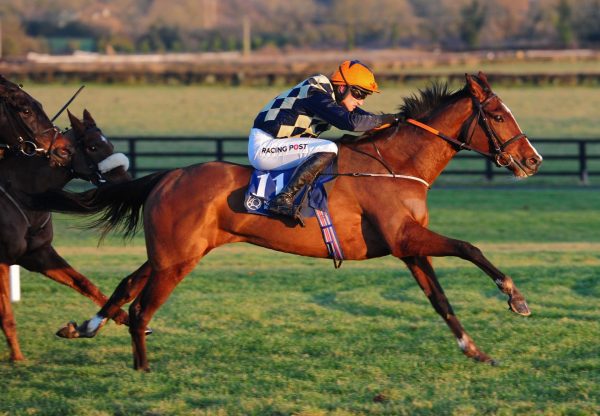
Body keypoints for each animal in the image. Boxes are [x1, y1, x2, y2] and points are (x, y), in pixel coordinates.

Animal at [0, 109, 131, 360]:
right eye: (92, 147)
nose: (126, 181)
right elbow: (6, 313)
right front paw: (17, 357)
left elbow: (83, 282)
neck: (21, 191)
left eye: (109, 144)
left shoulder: (38, 254)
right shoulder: (2, 261)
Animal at [37, 72, 544, 370]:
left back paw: (83, 328)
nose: (533, 160)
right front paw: (514, 297)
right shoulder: (406, 237)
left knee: (127, 285)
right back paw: (142, 368)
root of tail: (168, 175)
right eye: (497, 114)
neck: (396, 163)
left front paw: (474, 349)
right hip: (177, 259)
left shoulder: (408, 247)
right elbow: (470, 247)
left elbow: (440, 300)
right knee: (143, 308)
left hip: (170, 253)